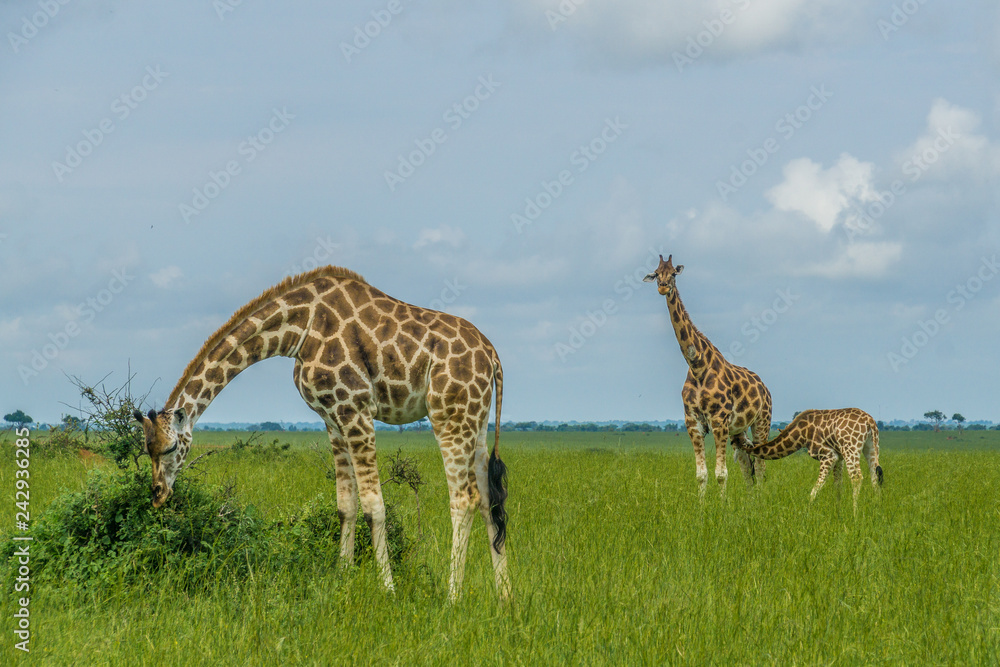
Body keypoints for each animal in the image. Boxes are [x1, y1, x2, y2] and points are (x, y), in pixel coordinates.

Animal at [133, 265, 510, 601]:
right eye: (147, 449)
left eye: (170, 448)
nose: (157, 494)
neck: (298, 330)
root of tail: (492, 356)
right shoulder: (333, 418)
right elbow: (346, 505)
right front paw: (342, 578)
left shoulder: (356, 410)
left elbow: (374, 505)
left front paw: (388, 590)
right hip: (476, 421)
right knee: (489, 499)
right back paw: (505, 598)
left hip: (450, 415)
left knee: (464, 499)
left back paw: (452, 597)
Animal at [643, 254, 772, 496]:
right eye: (655, 273)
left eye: (673, 273)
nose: (663, 287)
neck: (697, 365)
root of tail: (764, 387)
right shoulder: (693, 422)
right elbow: (701, 474)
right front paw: (702, 505)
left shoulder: (719, 420)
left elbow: (721, 474)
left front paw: (722, 505)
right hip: (739, 429)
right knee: (745, 462)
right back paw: (750, 499)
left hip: (762, 421)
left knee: (760, 464)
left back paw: (760, 498)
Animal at [736, 408, 882, 510]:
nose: (735, 442)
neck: (802, 433)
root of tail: (870, 422)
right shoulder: (839, 456)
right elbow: (838, 483)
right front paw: (838, 510)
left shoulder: (828, 454)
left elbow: (817, 486)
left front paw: (808, 510)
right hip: (871, 446)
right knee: (874, 475)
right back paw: (876, 508)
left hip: (851, 447)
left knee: (857, 477)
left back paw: (855, 513)